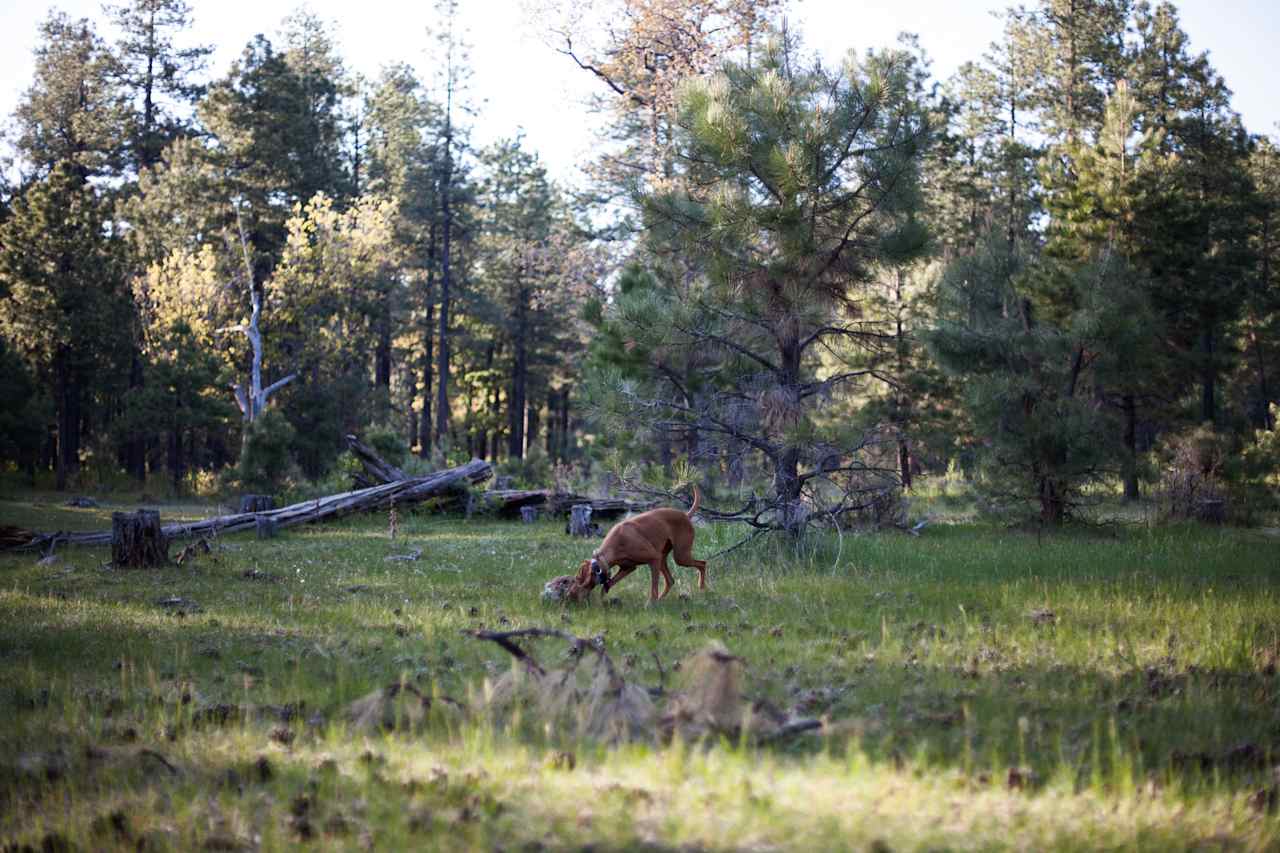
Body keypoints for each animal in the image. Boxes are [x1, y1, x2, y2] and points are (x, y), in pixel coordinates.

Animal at [573, 484, 706, 596]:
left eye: (579, 579)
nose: (573, 593)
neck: (617, 543)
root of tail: (686, 515)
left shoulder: (653, 559)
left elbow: (653, 590)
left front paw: (651, 605)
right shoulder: (628, 568)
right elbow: (607, 586)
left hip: (680, 557)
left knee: (702, 564)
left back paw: (701, 588)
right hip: (663, 558)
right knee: (670, 581)